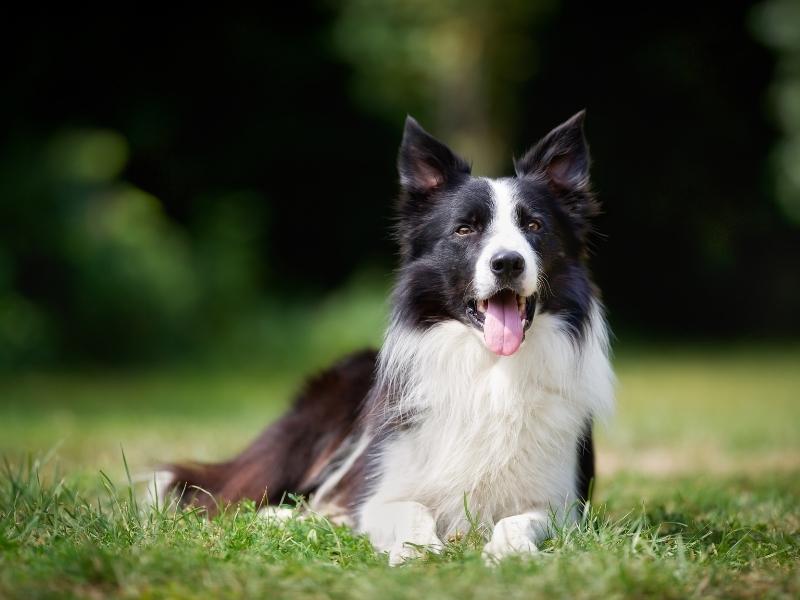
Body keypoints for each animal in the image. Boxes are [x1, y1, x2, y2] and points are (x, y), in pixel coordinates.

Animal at [161, 111, 612, 564]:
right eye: (465, 230)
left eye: (534, 225)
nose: (507, 262)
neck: (490, 370)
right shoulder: (380, 491)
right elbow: (409, 509)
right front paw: (418, 551)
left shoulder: (562, 503)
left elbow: (520, 519)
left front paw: (510, 551)